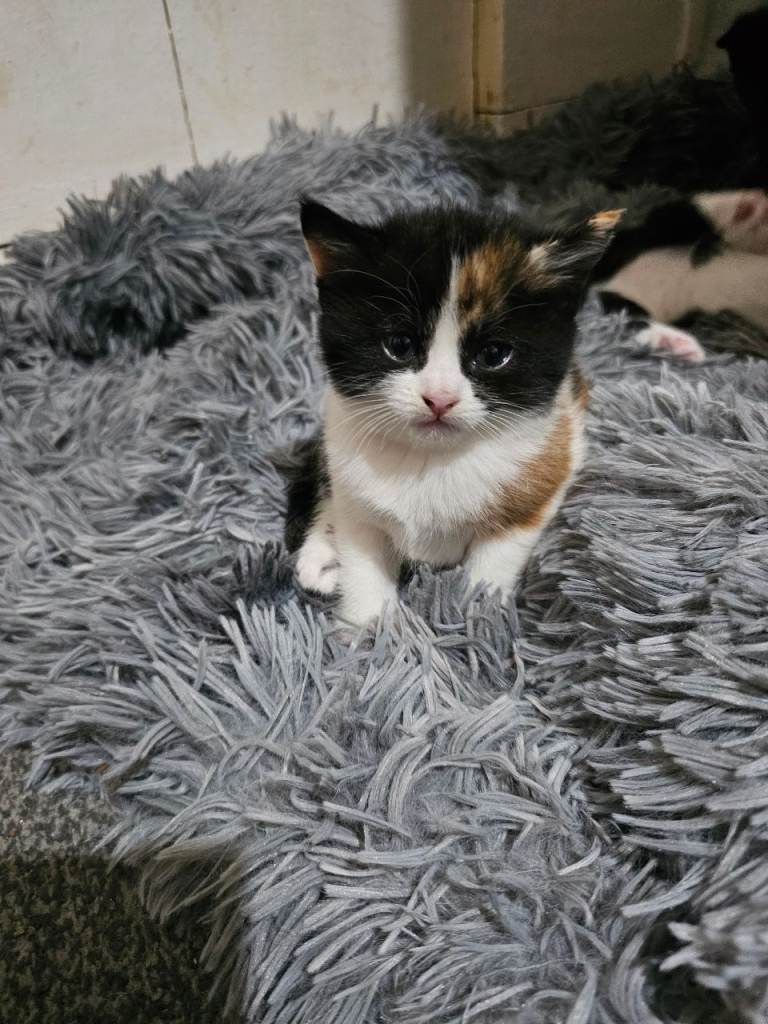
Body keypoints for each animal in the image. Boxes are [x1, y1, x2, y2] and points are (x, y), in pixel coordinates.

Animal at [286, 200, 619, 626]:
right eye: (399, 345)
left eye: (493, 354)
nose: (439, 398)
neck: (430, 460)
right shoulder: (353, 495)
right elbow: (362, 564)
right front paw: (369, 630)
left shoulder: (541, 481)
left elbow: (492, 566)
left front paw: (478, 621)